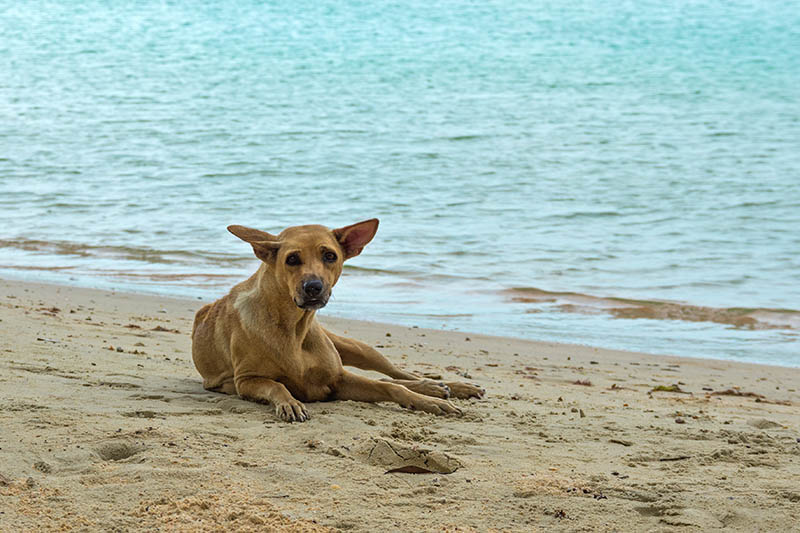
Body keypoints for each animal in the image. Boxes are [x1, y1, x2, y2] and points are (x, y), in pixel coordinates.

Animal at [191, 218, 484, 422]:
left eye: (330, 255)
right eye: (292, 259)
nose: (313, 287)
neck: (293, 328)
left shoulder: (338, 379)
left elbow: (392, 388)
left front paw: (430, 402)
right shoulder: (247, 381)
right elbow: (277, 386)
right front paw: (290, 403)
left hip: (358, 348)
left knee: (397, 375)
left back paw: (440, 387)